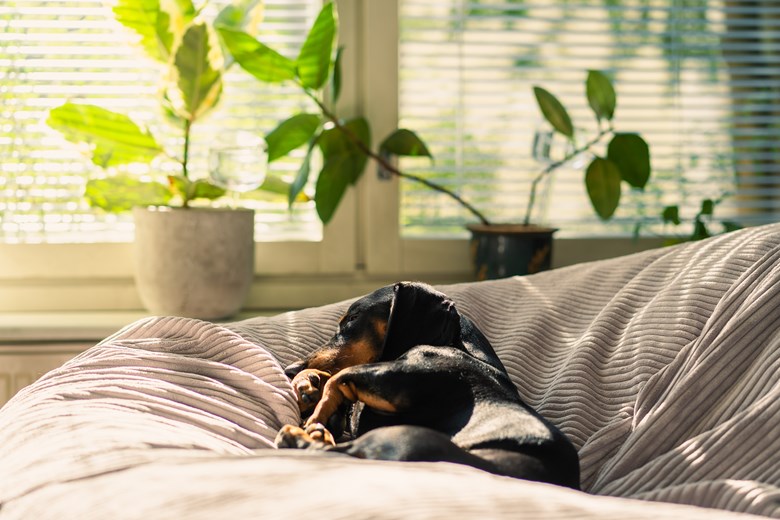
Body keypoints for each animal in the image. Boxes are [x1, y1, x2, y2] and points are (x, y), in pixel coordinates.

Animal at [274, 280, 580, 488]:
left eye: (352, 319)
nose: (290, 370)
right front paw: (308, 385)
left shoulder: (392, 378)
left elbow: (339, 379)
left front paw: (314, 414)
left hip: (404, 437)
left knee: (335, 451)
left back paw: (298, 435)